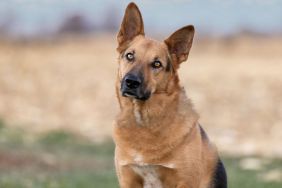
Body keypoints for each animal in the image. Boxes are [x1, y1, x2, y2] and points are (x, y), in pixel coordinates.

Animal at [112, 1, 227, 188]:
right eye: (130, 56)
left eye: (157, 64)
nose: (131, 82)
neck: (144, 122)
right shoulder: (128, 180)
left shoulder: (185, 182)